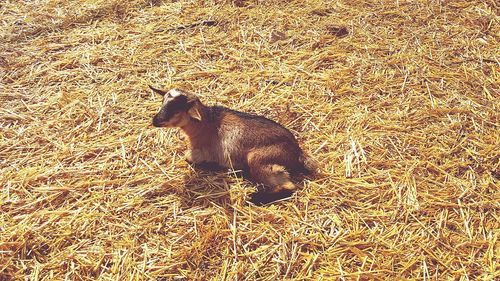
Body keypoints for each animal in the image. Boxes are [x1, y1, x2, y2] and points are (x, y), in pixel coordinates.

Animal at [149, 85, 316, 201]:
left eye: (176, 109)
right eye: (163, 102)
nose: (155, 121)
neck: (206, 124)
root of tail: (297, 151)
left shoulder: (203, 152)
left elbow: (188, 158)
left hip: (260, 159)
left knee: (289, 186)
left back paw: (253, 198)